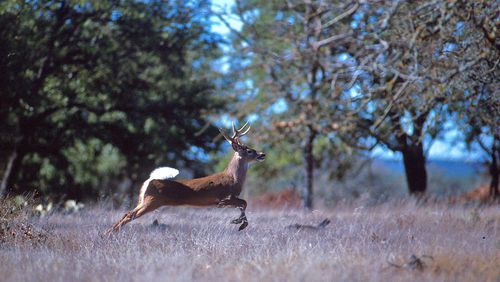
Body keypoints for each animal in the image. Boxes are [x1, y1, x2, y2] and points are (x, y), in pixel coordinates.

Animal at [108, 121, 266, 234]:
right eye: (249, 151)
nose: (262, 154)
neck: (233, 178)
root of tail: (150, 180)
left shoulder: (227, 200)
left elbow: (243, 204)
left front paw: (238, 222)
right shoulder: (224, 198)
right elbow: (244, 203)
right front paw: (240, 224)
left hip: (143, 201)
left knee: (126, 213)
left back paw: (108, 234)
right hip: (151, 201)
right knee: (129, 215)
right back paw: (109, 235)